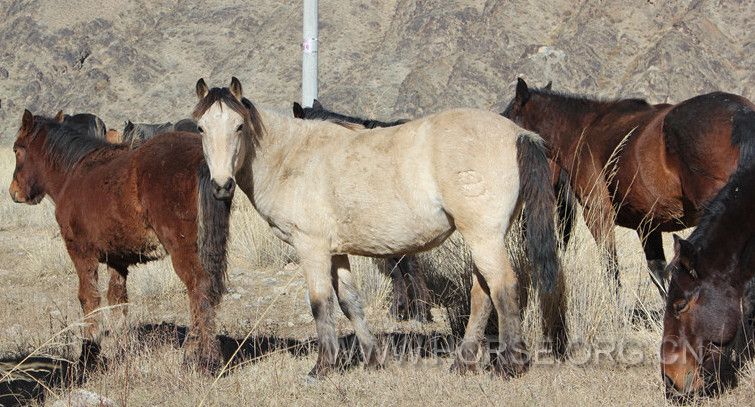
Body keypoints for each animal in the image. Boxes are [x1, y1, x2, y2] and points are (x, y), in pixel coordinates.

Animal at [504, 78, 755, 298]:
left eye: (507, 118)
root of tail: (740, 115)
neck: (583, 130)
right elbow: (658, 273)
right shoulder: (647, 225)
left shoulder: (598, 215)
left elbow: (611, 267)